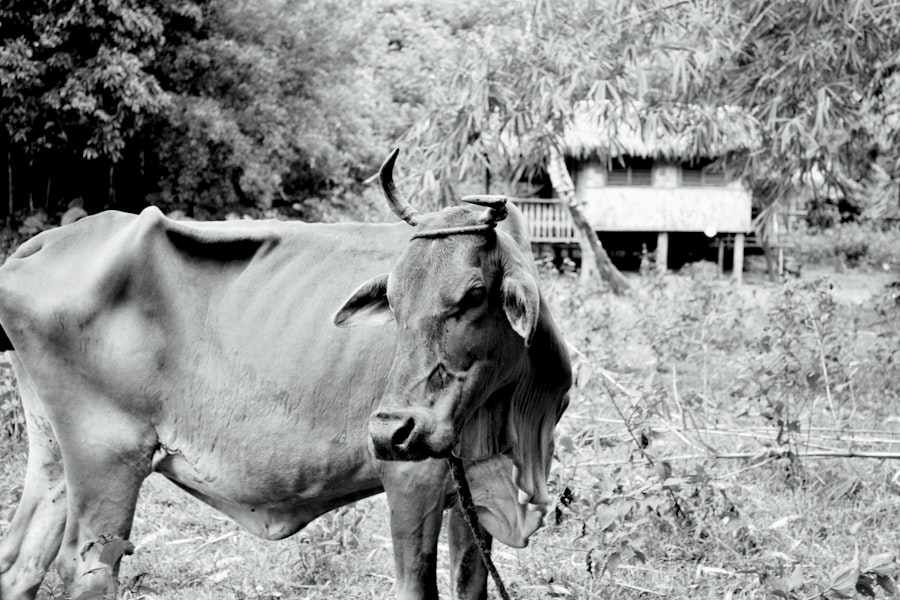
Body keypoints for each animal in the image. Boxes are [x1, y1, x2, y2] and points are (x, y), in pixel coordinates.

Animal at [0, 150, 568, 600]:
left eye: (475, 294)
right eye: (394, 298)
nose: (391, 431)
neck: (509, 416)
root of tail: (45, 244)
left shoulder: (470, 494)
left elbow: (470, 585)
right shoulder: (414, 480)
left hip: (55, 453)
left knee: (21, 561)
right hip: (108, 455)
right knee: (87, 567)